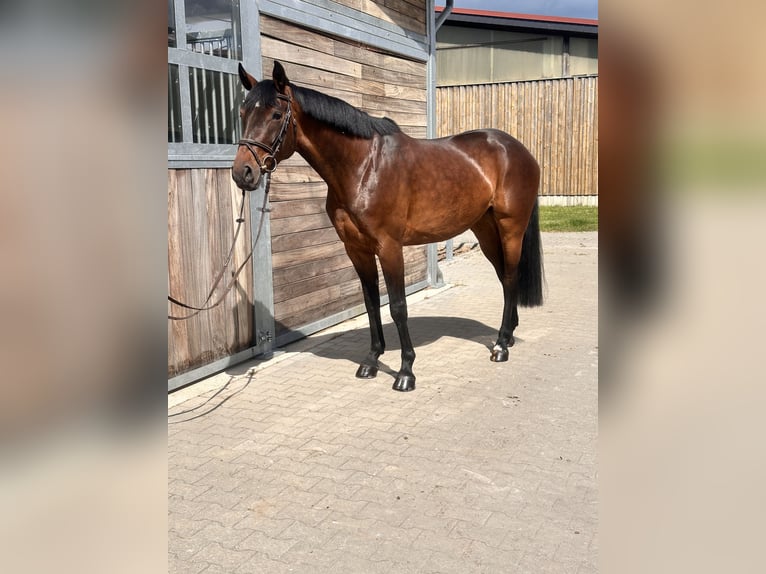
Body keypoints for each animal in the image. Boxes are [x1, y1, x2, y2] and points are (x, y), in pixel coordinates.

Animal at [232, 61, 544, 392]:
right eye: (242, 113)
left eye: (276, 115)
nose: (243, 173)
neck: (364, 167)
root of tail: (518, 150)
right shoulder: (356, 249)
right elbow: (371, 303)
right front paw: (371, 361)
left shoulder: (390, 247)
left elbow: (397, 306)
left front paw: (406, 371)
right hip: (485, 231)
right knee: (504, 278)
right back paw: (507, 335)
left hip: (510, 229)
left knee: (510, 277)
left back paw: (501, 346)